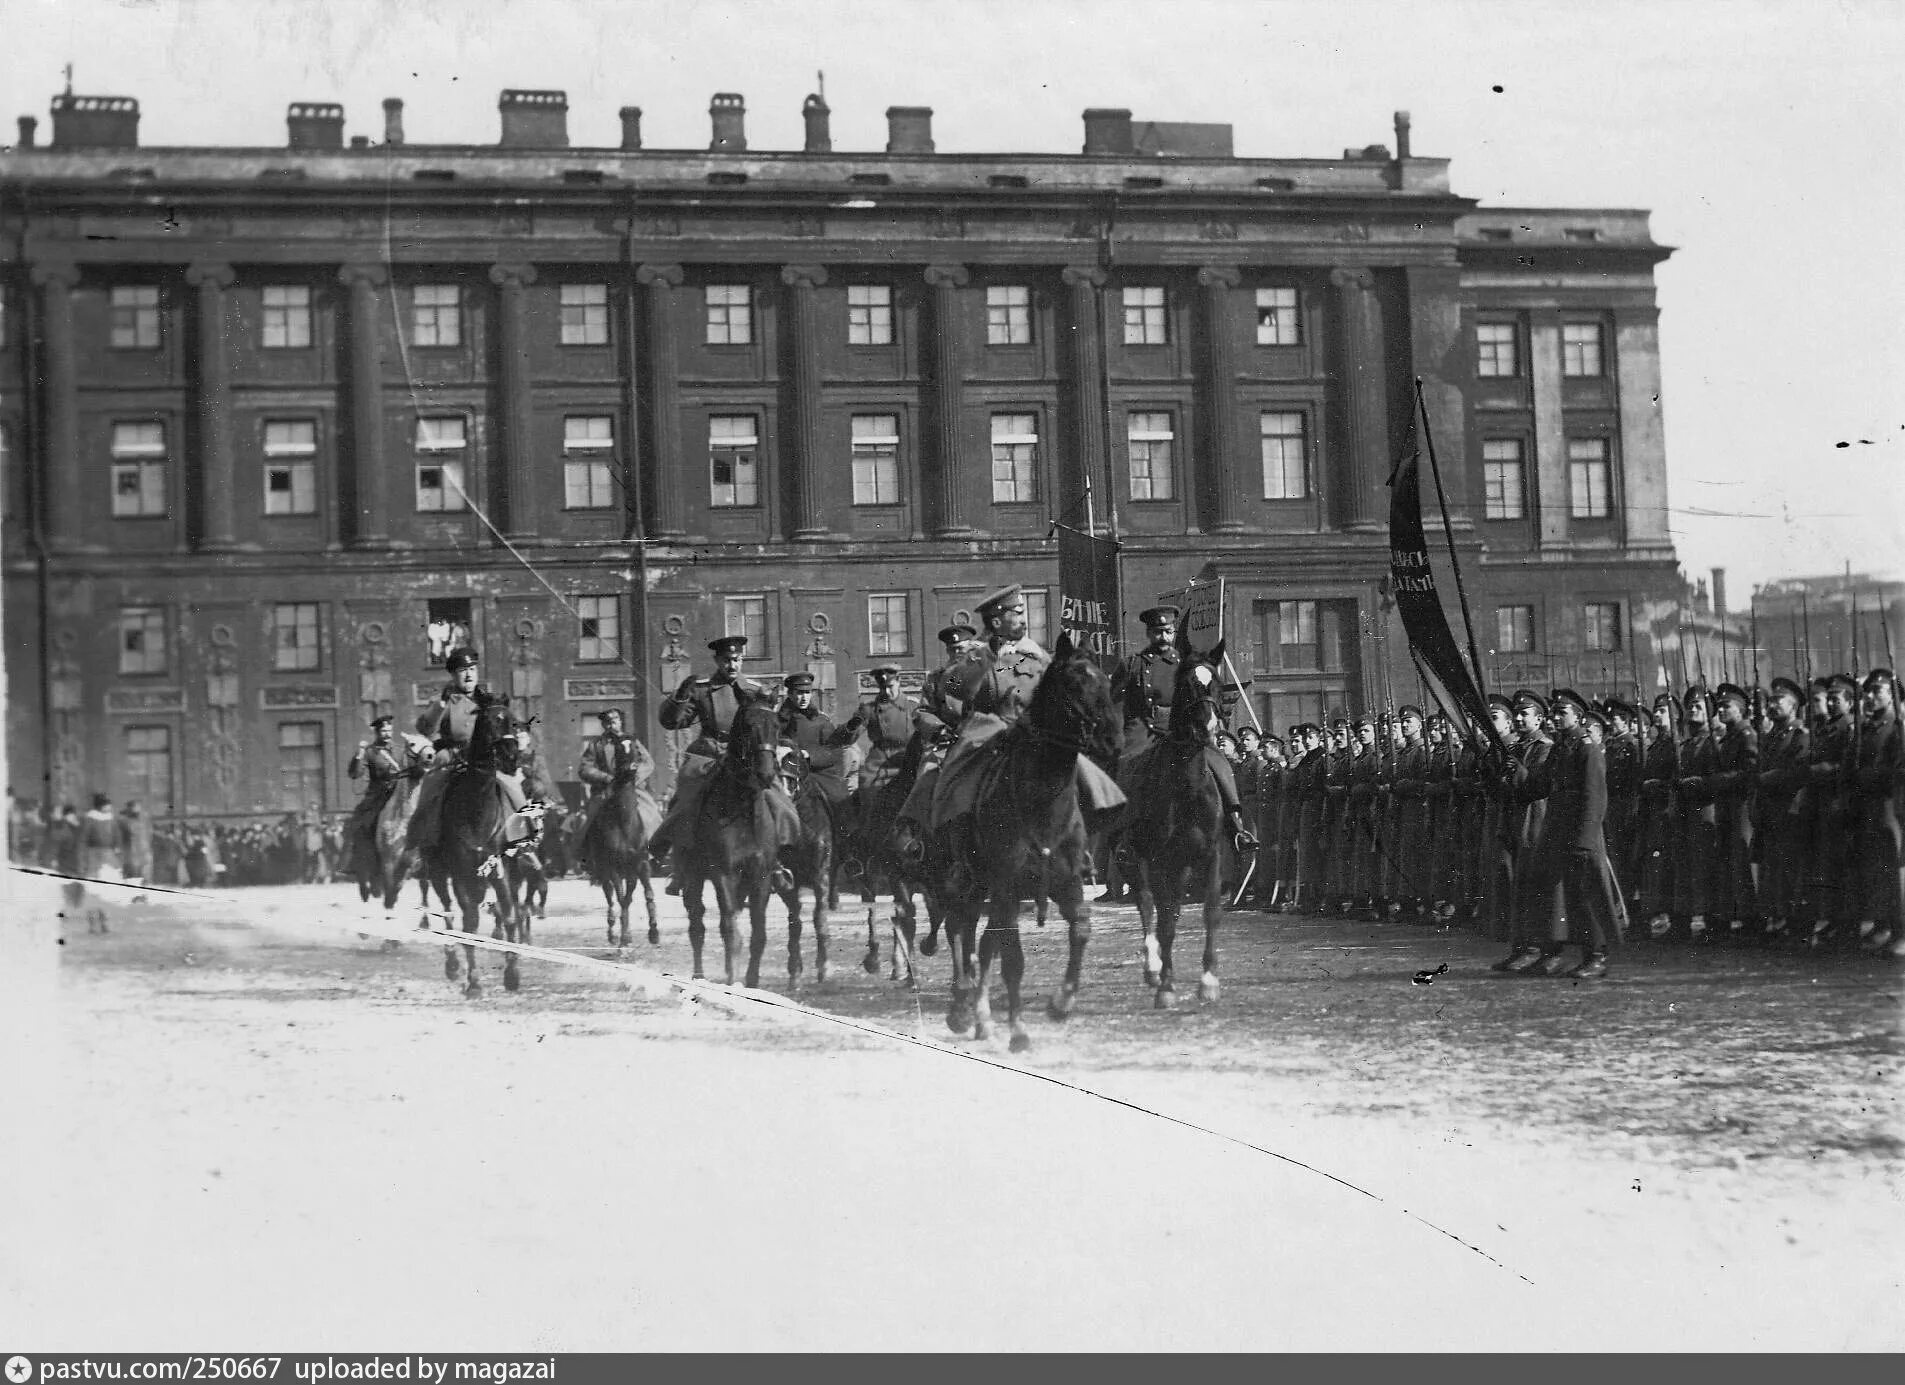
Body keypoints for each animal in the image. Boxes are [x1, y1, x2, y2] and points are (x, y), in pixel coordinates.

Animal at [575, 742, 659, 948]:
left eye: (636, 748)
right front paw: (624, 939)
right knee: (610, 895)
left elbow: (637, 896)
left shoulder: (638, 865)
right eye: (620, 749)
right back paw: (613, 932)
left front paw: (651, 933)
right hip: (603, 869)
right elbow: (621, 899)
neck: (624, 822)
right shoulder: (611, 867)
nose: (632, 767)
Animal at [678, 697, 796, 990]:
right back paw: (699, 975)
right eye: (748, 725)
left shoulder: (761, 876)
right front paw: (733, 980)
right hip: (694, 877)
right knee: (697, 923)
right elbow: (730, 930)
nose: (766, 773)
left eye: (776, 725)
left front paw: (752, 982)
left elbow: (759, 932)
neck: (742, 811)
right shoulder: (724, 874)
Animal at [922, 632, 1112, 1059]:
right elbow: (1013, 961)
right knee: (959, 931)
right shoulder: (1007, 888)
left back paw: (980, 1017)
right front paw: (1019, 1032)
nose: (1112, 738)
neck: (1041, 800)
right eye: (1072, 682)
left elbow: (1081, 931)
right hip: (961, 882)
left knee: (981, 939)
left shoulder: (1067, 884)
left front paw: (1061, 1003)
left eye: (1105, 680)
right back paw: (962, 1007)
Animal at [1112, 632, 1234, 1005]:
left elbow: (1210, 911)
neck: (1186, 787)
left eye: (1217, 682)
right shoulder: (1158, 859)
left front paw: (1208, 981)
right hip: (1134, 859)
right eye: (1187, 684)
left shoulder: (1210, 855)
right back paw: (1153, 967)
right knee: (1147, 904)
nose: (1207, 729)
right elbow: (1163, 918)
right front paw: (1166, 986)